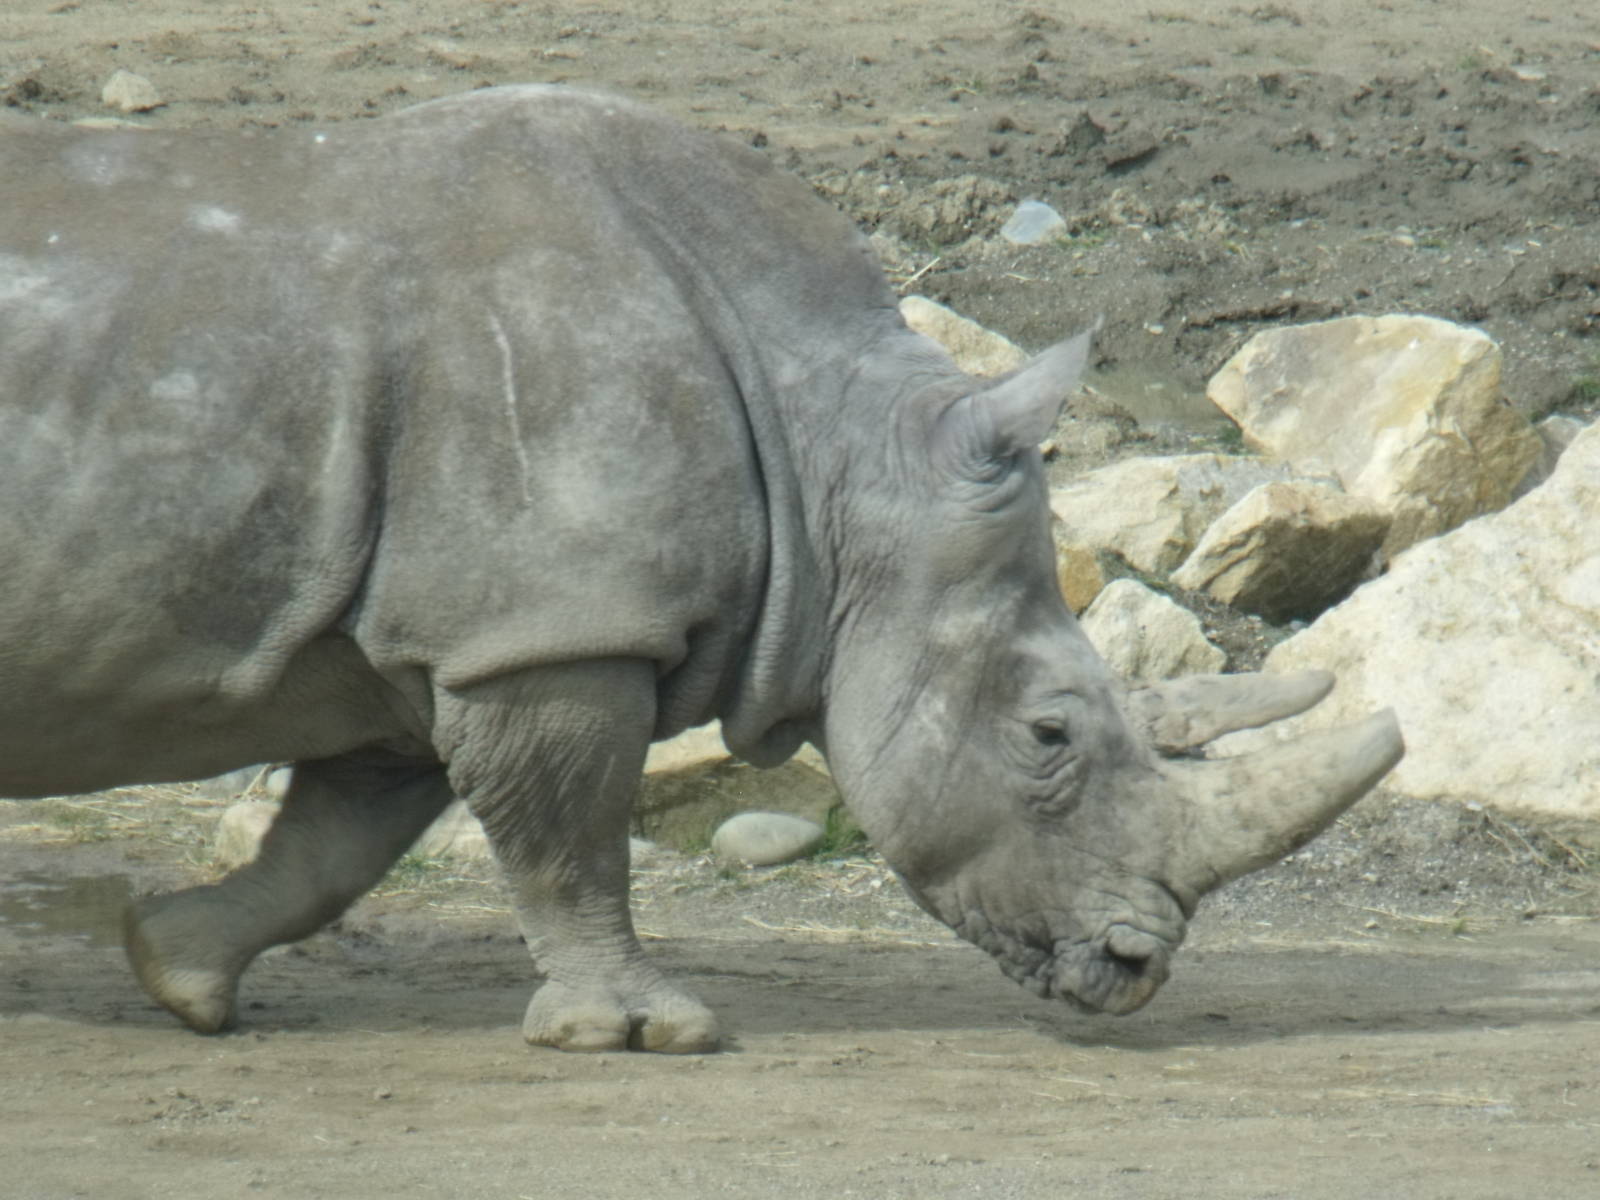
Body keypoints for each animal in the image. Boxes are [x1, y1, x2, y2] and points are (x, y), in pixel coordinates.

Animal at [0, 86, 1401, 1052]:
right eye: (1049, 735)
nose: (1134, 967)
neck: (834, 456)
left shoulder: (450, 628)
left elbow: (335, 842)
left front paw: (179, 972)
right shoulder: (551, 628)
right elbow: (569, 836)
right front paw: (645, 1034)